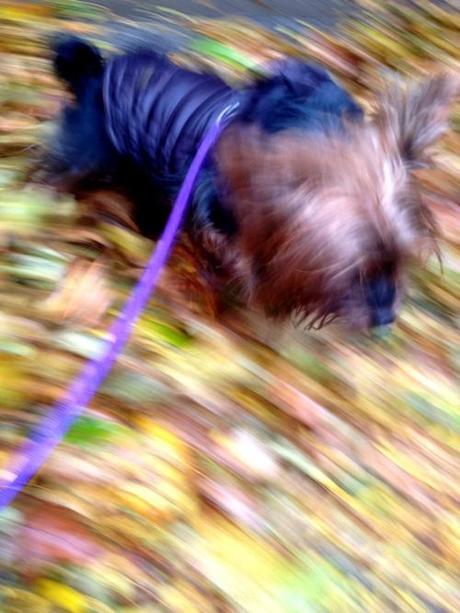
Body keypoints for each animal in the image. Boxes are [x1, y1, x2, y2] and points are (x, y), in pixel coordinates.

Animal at [42, 35, 456, 332]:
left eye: (401, 258)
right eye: (353, 269)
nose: (386, 320)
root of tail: (94, 73)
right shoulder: (227, 221)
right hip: (87, 151)